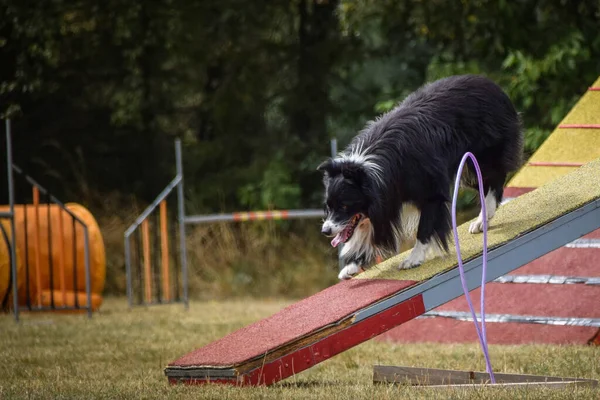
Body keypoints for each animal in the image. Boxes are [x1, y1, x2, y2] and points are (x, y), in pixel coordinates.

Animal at [318, 76, 520, 282]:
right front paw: (350, 267)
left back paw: (483, 217)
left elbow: (425, 223)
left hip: (483, 149)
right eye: (328, 206)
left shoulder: (427, 184)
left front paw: (413, 259)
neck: (373, 170)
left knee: (494, 177)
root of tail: (490, 84)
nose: (325, 231)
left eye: (344, 206)